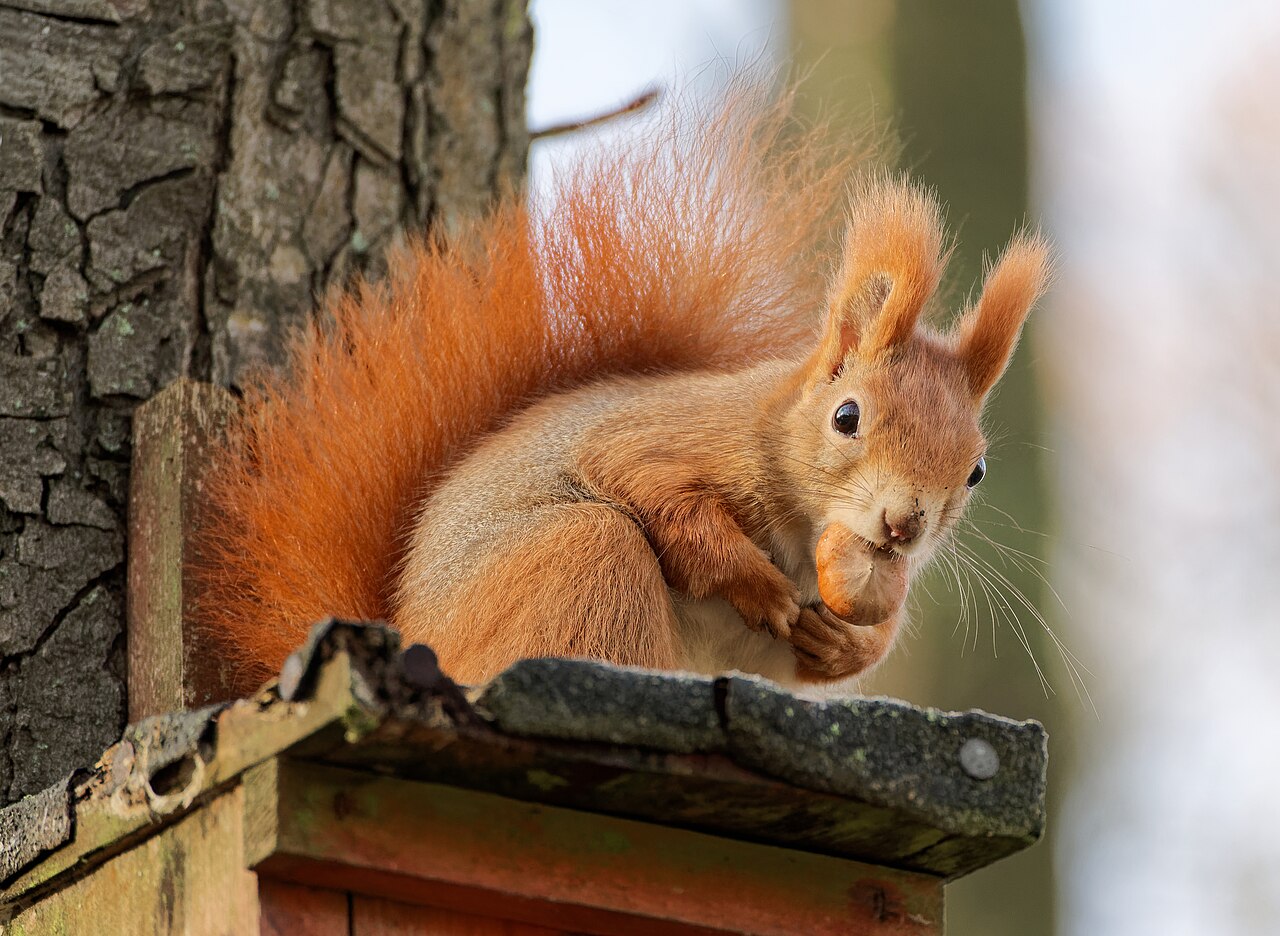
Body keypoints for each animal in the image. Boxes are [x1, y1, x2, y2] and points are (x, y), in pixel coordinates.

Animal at [195, 87, 1049, 696]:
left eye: (975, 470)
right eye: (848, 417)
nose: (905, 524)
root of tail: (401, 633)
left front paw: (842, 643)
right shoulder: (678, 434)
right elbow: (649, 485)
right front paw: (755, 582)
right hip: (583, 556)